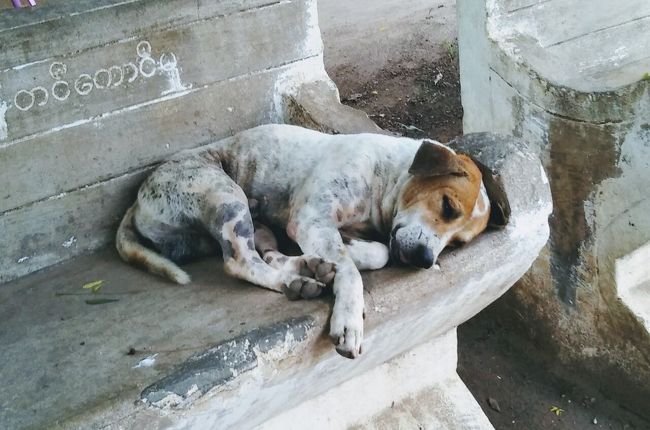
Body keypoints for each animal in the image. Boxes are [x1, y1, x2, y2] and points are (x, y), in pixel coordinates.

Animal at [115, 125, 506, 360]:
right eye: (448, 206)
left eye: (456, 245)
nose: (426, 259)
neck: (386, 178)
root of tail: (137, 200)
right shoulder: (312, 218)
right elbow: (353, 270)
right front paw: (349, 318)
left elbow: (376, 252)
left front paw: (349, 251)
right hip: (225, 195)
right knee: (240, 260)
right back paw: (294, 279)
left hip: (254, 219)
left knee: (265, 252)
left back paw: (305, 268)